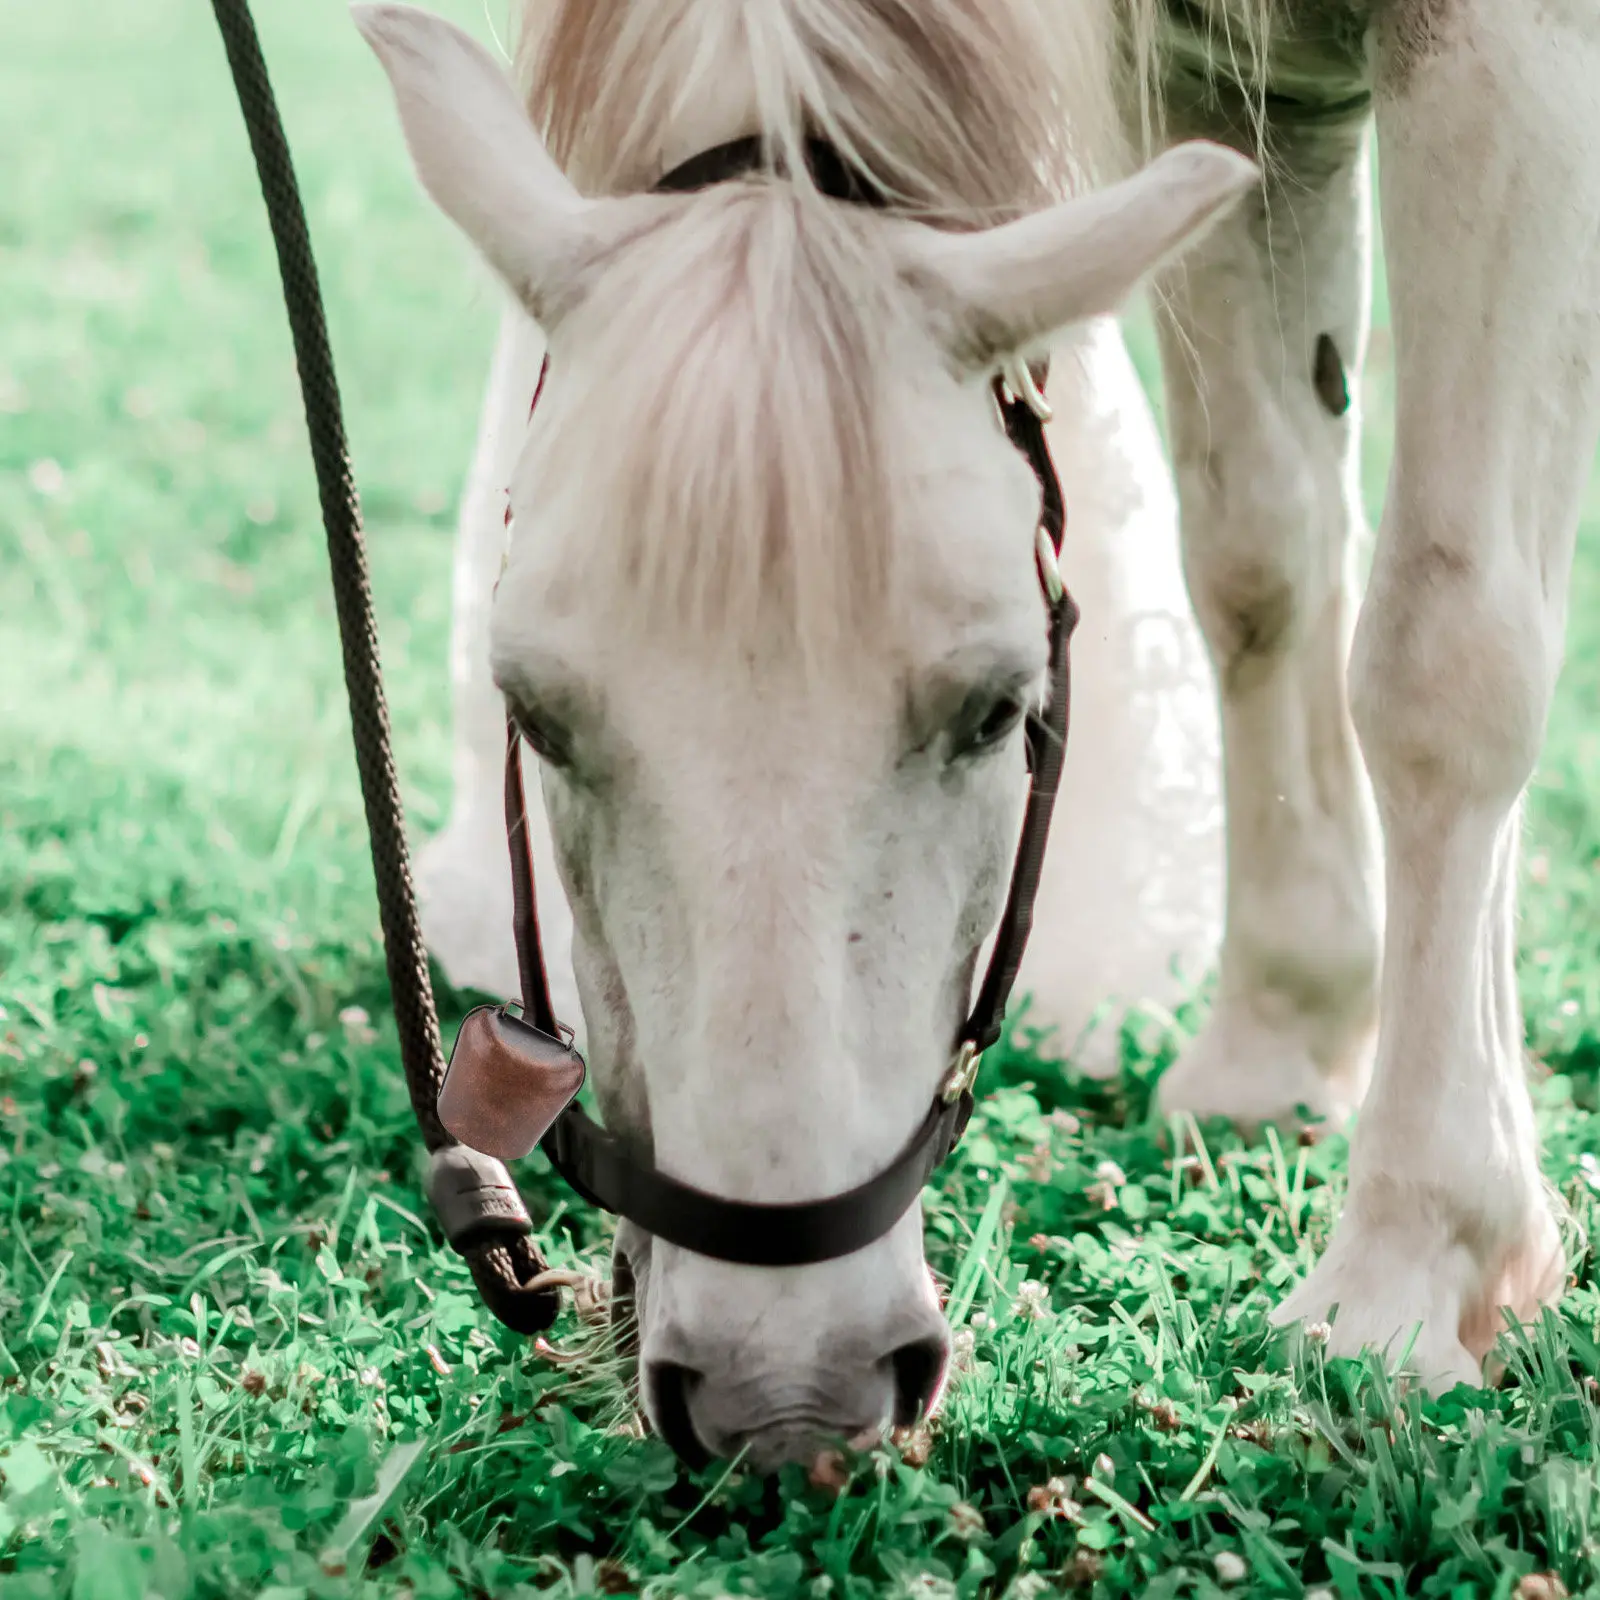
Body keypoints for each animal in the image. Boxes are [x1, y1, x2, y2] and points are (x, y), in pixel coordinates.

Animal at [356, 0, 1599, 1466]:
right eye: (534, 718)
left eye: (1001, 709)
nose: (783, 1396)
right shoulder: (1221, 91)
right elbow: (1260, 562)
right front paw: (1282, 1041)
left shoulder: (1515, 58)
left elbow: (1446, 647)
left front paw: (1415, 1256)